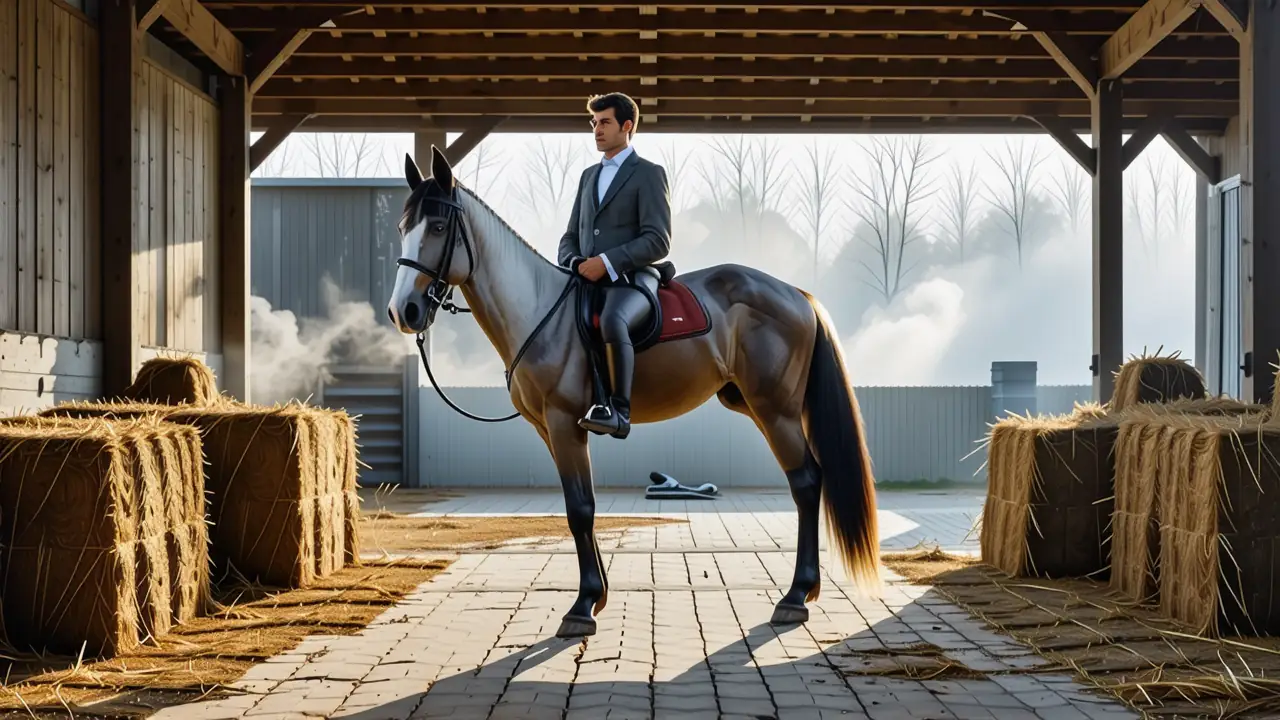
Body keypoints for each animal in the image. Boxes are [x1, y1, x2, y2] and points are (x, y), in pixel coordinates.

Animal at [386, 146, 880, 638]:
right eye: (401, 229)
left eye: (438, 227)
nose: (402, 311)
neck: (540, 311)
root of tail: (797, 293)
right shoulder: (550, 430)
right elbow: (580, 506)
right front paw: (597, 595)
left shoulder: (566, 423)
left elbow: (580, 509)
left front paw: (583, 606)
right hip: (756, 406)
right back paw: (805, 592)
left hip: (776, 410)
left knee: (806, 482)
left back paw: (795, 596)